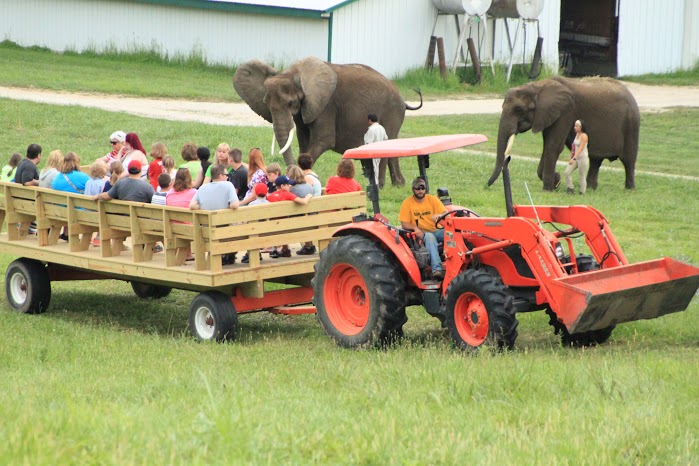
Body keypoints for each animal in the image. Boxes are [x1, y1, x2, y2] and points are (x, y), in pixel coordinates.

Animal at [234, 54, 422, 186]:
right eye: (266, 103)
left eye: (291, 103)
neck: (294, 74)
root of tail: (403, 99)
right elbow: (303, 139)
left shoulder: (326, 105)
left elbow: (323, 140)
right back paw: (398, 185)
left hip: (392, 112)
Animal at [486, 76, 640, 191]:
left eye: (518, 109)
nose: (486, 185)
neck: (538, 86)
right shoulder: (548, 114)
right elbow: (547, 145)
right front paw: (556, 181)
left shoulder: (566, 112)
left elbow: (553, 146)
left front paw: (549, 188)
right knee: (596, 159)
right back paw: (591, 188)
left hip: (631, 123)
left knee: (628, 159)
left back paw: (629, 189)